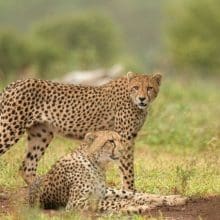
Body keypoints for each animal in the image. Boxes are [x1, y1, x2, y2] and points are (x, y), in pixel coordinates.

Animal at [0, 72, 162, 189]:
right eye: (136, 87)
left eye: (149, 88)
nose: (142, 99)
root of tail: (16, 83)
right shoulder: (125, 137)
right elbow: (127, 168)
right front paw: (130, 191)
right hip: (10, 127)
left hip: (41, 134)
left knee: (27, 167)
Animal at [28, 131, 187, 215]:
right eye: (110, 141)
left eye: (120, 140)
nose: (123, 150)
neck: (97, 164)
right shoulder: (76, 203)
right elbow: (114, 202)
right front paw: (136, 207)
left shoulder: (98, 194)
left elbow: (121, 199)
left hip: (110, 190)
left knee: (136, 193)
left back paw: (173, 198)